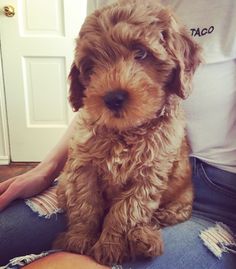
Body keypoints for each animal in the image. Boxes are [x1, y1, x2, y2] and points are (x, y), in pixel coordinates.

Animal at [54, 0, 202, 264]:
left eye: (141, 53)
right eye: (90, 66)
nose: (113, 98)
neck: (126, 132)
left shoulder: (149, 174)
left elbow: (126, 211)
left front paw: (110, 246)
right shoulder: (83, 165)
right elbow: (85, 203)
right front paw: (79, 239)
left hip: (181, 199)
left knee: (163, 215)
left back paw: (145, 238)